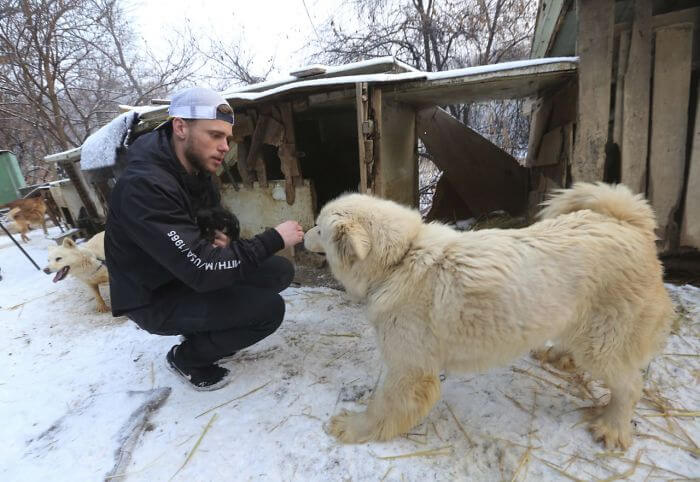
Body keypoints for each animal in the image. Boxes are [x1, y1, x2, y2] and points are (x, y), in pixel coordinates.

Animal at [304, 183, 672, 450]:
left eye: (319, 229)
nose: (301, 232)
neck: (401, 259)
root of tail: (627, 222)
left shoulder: (408, 370)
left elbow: (381, 407)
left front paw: (353, 427)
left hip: (603, 342)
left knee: (629, 386)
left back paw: (613, 427)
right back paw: (558, 356)